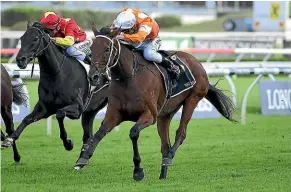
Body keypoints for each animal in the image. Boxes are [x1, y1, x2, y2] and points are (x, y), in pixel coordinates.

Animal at [2, 21, 110, 160]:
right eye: (21, 38)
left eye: (35, 39)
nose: (20, 60)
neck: (57, 75)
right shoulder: (45, 108)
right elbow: (27, 119)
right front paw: (10, 139)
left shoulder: (77, 108)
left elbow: (59, 113)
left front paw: (68, 143)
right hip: (91, 110)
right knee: (88, 135)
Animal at [73, 26, 237, 181]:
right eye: (91, 49)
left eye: (107, 49)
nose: (93, 77)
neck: (129, 77)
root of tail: (198, 63)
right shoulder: (115, 114)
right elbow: (99, 132)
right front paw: (82, 159)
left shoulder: (149, 115)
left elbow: (133, 133)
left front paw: (138, 170)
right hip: (165, 114)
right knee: (165, 143)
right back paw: (163, 172)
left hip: (192, 100)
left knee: (180, 133)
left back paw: (169, 157)